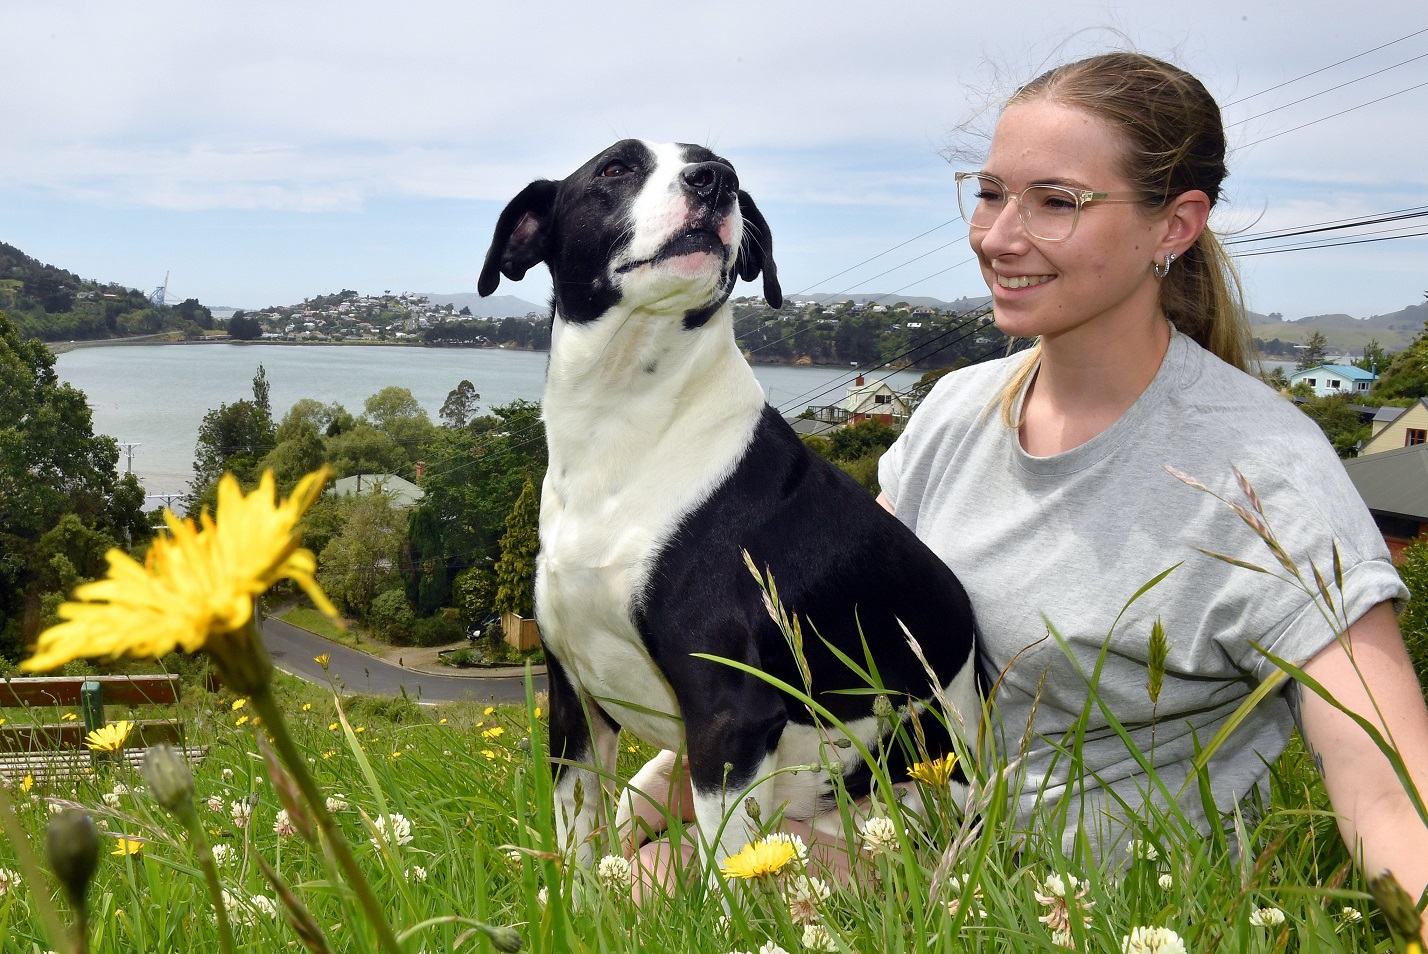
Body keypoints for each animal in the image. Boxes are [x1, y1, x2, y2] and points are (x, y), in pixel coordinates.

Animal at [474, 139, 976, 879]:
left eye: (720, 165)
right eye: (616, 169)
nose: (716, 180)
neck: (623, 430)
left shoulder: (728, 716)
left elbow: (725, 876)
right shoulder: (575, 702)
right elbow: (576, 844)